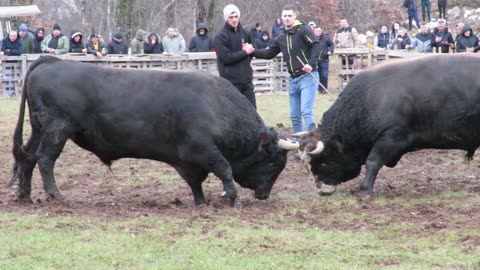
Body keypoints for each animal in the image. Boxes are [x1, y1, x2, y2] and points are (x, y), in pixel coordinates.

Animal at [8, 56, 296, 206]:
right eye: (273, 163)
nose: (264, 194)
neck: (217, 105)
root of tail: (52, 61)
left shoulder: (188, 160)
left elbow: (196, 181)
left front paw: (200, 203)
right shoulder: (203, 149)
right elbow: (224, 169)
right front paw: (230, 197)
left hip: (39, 130)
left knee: (27, 157)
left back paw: (24, 194)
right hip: (57, 130)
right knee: (45, 160)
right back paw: (55, 194)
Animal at [298, 53, 478, 197]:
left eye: (322, 160)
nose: (321, 190)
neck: (370, 98)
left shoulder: (391, 136)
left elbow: (373, 161)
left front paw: (364, 190)